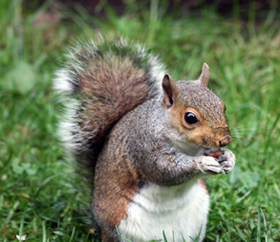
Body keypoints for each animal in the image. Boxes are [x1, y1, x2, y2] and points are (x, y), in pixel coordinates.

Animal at [53, 36, 236, 241]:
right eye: (190, 117)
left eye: (222, 106)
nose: (225, 140)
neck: (187, 146)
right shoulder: (144, 146)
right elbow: (164, 170)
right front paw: (202, 163)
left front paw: (229, 157)